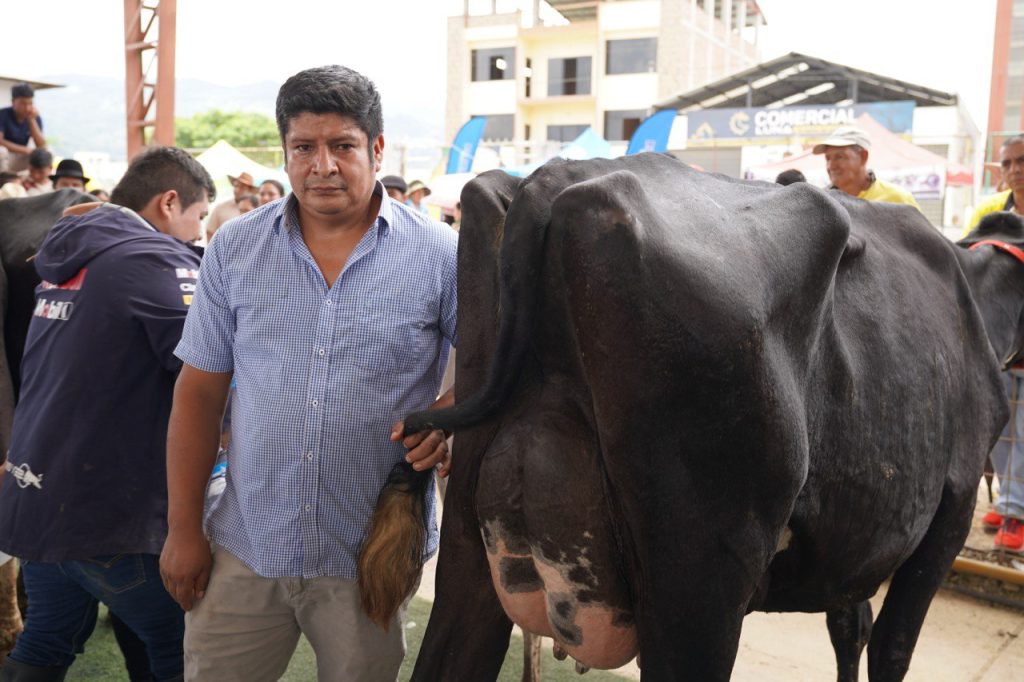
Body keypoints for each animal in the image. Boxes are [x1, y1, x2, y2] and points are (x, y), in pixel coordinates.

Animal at [356, 153, 1024, 681]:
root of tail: (555, 179)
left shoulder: (850, 547)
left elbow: (850, 625)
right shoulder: (952, 503)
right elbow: (892, 645)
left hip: (470, 539)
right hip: (700, 570)